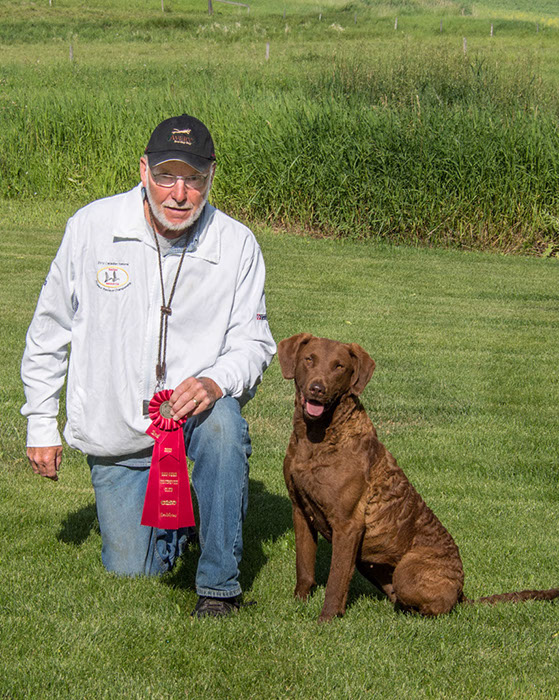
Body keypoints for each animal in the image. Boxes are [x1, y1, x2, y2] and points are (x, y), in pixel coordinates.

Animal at [280, 334, 559, 624]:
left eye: (339, 367)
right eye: (309, 359)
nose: (317, 389)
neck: (316, 437)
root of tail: (461, 590)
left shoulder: (348, 524)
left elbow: (336, 580)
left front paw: (327, 620)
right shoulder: (300, 510)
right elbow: (304, 566)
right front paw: (298, 602)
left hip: (407, 571)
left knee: (439, 607)